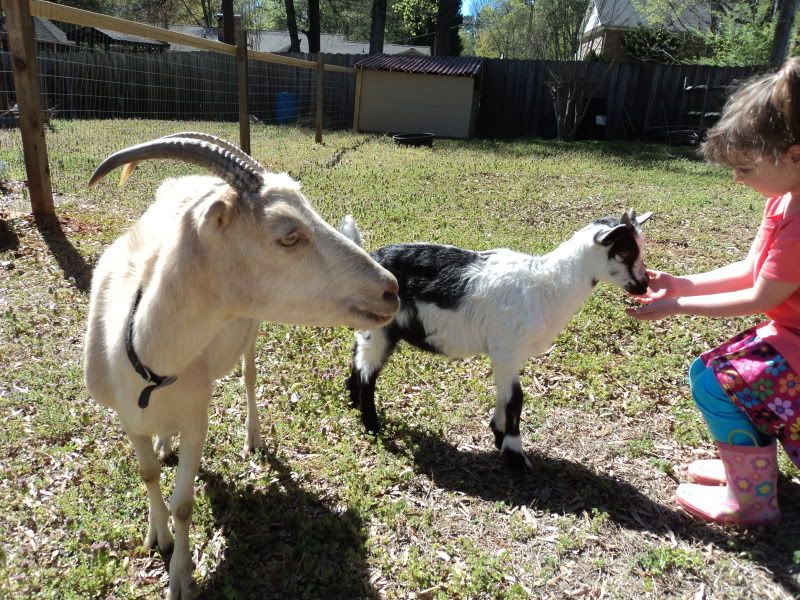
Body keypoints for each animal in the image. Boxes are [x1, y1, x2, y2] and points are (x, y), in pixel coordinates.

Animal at [83, 133, 399, 599]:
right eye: (288, 236)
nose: (390, 290)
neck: (146, 357)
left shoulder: (196, 417)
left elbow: (184, 504)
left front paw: (180, 576)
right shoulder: (127, 417)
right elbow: (147, 472)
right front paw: (157, 535)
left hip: (251, 326)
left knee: (249, 376)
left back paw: (252, 436)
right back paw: (164, 443)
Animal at [344, 210, 651, 469]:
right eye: (625, 251)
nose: (644, 284)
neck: (546, 286)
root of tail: (372, 256)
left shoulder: (510, 354)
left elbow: (506, 395)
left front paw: (499, 434)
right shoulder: (506, 349)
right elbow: (516, 398)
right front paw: (515, 456)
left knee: (358, 360)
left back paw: (353, 402)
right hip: (381, 330)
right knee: (368, 373)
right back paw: (372, 426)